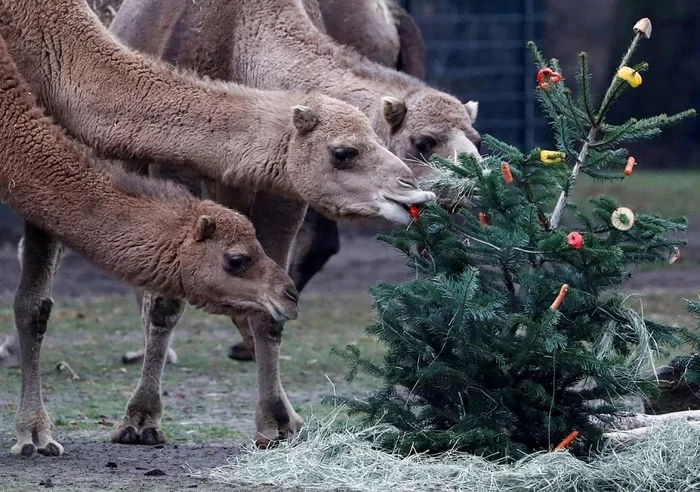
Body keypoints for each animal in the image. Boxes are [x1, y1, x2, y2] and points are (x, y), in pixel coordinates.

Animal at [109, 0, 482, 444]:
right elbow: (166, 299)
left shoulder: (283, 189)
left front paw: (278, 421)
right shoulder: (172, 163)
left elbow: (271, 300)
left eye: (475, 139)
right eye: (424, 142)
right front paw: (140, 419)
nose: (475, 179)